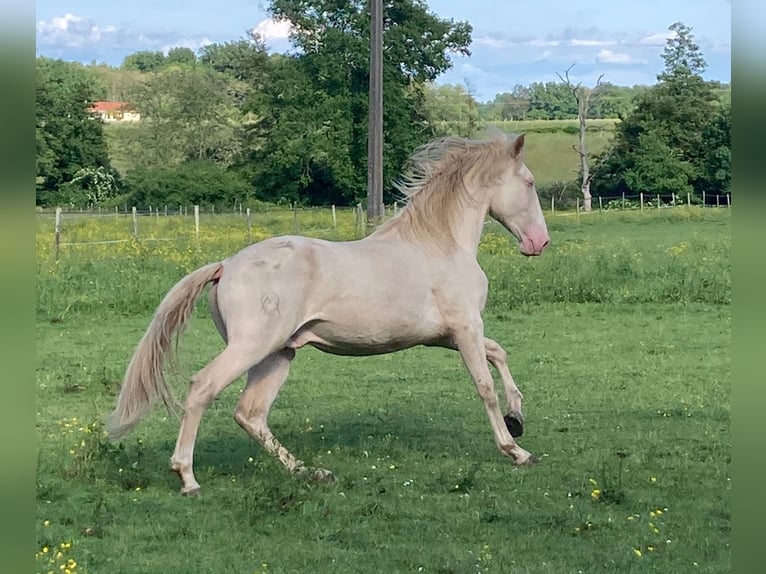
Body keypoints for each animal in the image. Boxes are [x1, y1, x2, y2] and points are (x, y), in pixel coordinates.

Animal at [108, 134, 552, 496]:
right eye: (530, 183)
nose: (539, 243)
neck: (439, 244)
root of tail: (225, 265)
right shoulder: (464, 327)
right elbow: (484, 385)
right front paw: (515, 449)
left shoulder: (445, 335)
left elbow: (499, 353)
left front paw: (517, 417)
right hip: (252, 347)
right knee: (203, 388)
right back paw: (187, 478)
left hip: (278, 354)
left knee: (251, 414)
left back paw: (311, 473)